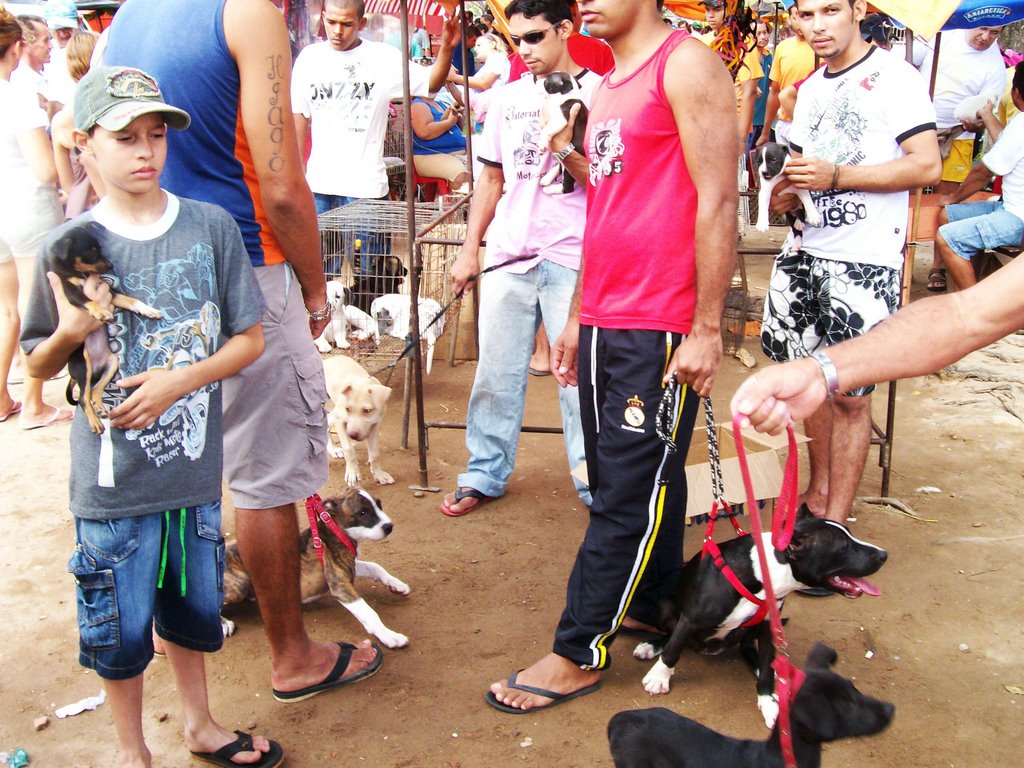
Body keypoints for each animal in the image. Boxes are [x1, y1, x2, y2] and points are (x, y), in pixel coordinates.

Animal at [50, 225, 161, 436]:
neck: (80, 274)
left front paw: (149, 310)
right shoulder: (70, 291)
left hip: (113, 362)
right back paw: (95, 422)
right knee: (83, 398)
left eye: (100, 248)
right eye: (91, 252)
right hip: (82, 364)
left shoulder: (109, 291)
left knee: (94, 390)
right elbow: (88, 300)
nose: (110, 265)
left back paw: (100, 407)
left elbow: (130, 300)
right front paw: (100, 312)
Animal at [630, 514, 888, 729]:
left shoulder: (767, 628)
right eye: (843, 546)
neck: (766, 573)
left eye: (850, 535)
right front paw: (659, 678)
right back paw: (652, 645)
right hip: (664, 606)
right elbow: (673, 649)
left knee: (749, 650)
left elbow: (764, 670)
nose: (884, 555)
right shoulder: (691, 619)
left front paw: (769, 703)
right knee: (671, 635)